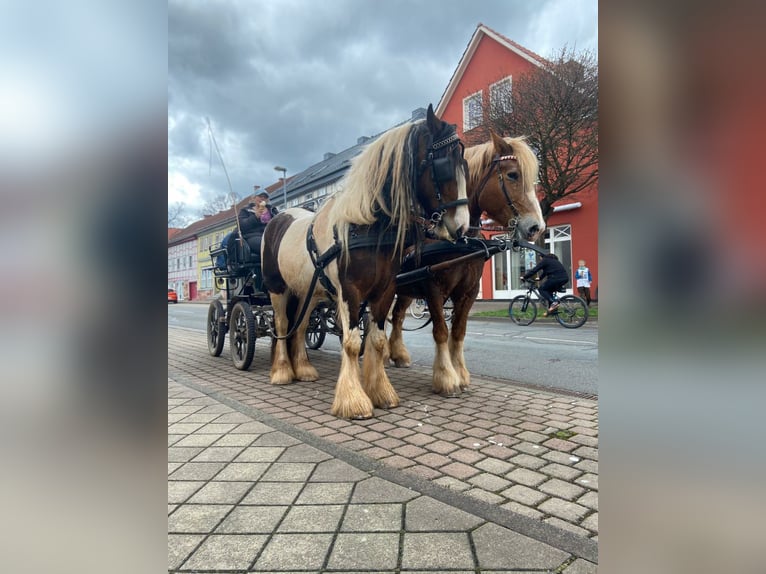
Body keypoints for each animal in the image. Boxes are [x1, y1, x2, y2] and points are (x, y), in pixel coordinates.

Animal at [260, 104, 472, 418]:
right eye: (444, 164)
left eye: (466, 166)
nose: (462, 227)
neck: (364, 223)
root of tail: (279, 218)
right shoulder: (350, 291)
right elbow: (351, 343)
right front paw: (353, 400)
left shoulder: (384, 291)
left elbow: (377, 341)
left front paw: (381, 391)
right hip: (277, 289)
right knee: (284, 324)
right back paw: (283, 372)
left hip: (308, 291)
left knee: (300, 326)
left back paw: (304, 369)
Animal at [390, 133, 544, 398]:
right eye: (513, 174)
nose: (537, 227)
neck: (459, 239)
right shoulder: (434, 287)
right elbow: (441, 331)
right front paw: (446, 378)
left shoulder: (468, 291)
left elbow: (459, 331)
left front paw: (460, 374)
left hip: (406, 290)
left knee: (397, 316)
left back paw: (396, 354)